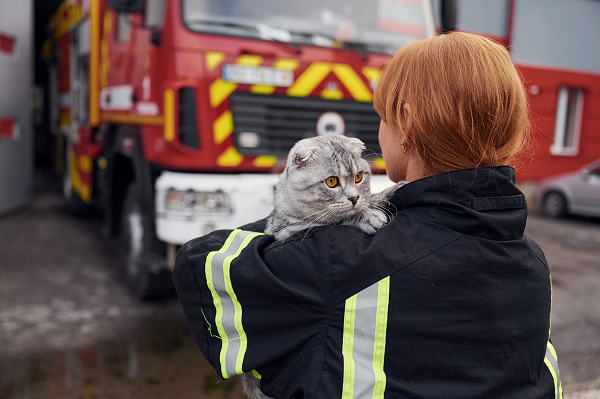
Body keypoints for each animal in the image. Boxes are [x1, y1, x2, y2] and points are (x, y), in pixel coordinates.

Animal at [240, 135, 404, 399]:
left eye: (359, 177)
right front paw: (366, 216)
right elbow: (338, 221)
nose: (354, 197)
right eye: (331, 181)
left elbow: (372, 199)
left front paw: (390, 190)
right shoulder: (292, 232)